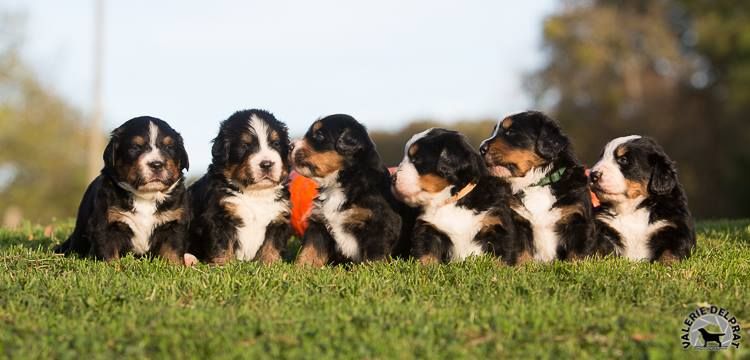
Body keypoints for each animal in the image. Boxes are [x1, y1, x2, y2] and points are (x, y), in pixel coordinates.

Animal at [55, 116, 189, 262]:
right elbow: (109, 256)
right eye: (135, 147)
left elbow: (172, 253)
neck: (146, 196)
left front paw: (176, 266)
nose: (156, 164)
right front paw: (112, 267)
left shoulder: (173, 224)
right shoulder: (106, 224)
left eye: (169, 147)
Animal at [188, 109, 294, 264]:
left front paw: (270, 264)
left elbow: (272, 245)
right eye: (245, 145)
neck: (255, 194)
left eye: (276, 143)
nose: (266, 164)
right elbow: (222, 245)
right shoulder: (218, 216)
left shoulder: (278, 217)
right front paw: (223, 265)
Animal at [292, 114, 412, 266]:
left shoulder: (380, 223)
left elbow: (374, 255)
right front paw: (302, 268)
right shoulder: (319, 222)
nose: (290, 146)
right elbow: (310, 250)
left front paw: (373, 269)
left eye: (319, 135)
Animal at [394, 129, 524, 264]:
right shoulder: (428, 230)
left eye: (416, 159)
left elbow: (500, 259)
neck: (452, 200)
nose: (393, 179)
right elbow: (426, 256)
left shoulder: (497, 226)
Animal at [482, 112, 600, 262]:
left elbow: (577, 255)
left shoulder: (579, 220)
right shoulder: (518, 224)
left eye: (511, 132)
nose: (481, 149)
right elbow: (521, 254)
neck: (537, 183)